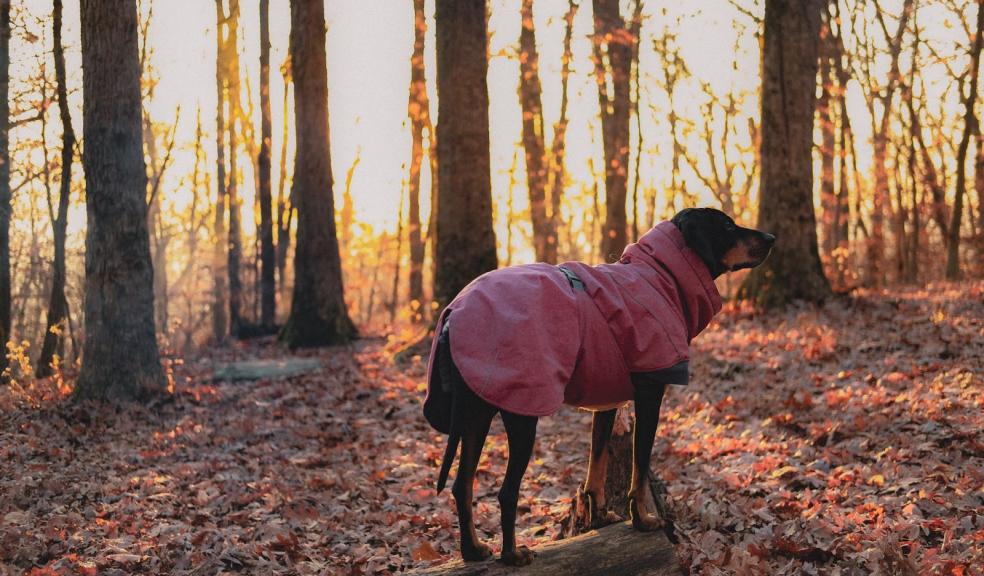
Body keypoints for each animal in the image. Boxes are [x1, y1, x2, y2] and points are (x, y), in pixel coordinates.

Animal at [422, 208, 776, 568]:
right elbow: (640, 468)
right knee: (506, 491)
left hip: (476, 410)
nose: (772, 238)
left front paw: (601, 517)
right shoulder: (650, 395)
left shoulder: (607, 401)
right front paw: (643, 519)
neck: (661, 277)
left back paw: (472, 550)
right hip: (522, 410)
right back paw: (512, 554)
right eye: (728, 226)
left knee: (462, 484)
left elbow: (597, 468)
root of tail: (453, 315)